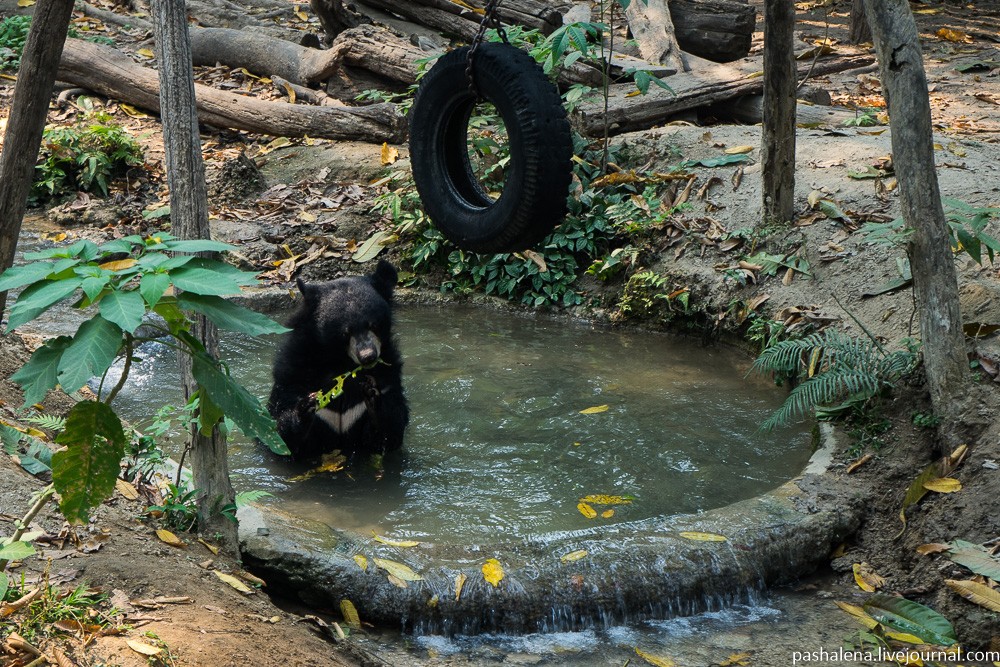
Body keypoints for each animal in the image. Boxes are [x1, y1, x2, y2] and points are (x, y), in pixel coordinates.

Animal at [268, 260, 408, 464]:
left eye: (374, 325)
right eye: (345, 332)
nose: (368, 356)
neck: (341, 363)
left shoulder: (389, 377)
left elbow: (390, 432)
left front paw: (372, 396)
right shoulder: (293, 373)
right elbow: (282, 434)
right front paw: (306, 406)